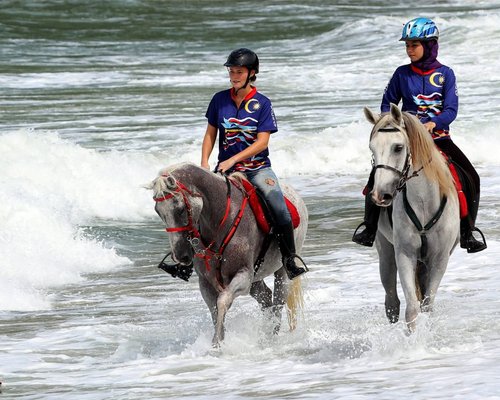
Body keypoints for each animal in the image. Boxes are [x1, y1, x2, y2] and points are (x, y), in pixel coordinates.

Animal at [146, 162, 306, 346]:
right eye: (158, 211)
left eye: (180, 209)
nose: (180, 255)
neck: (221, 217)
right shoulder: (205, 282)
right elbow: (215, 310)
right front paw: (219, 340)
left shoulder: (244, 275)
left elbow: (222, 302)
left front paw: (217, 344)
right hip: (256, 280)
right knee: (266, 298)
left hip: (282, 272)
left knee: (279, 302)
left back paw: (271, 337)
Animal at [366, 104, 458, 332]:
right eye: (372, 149)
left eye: (398, 147)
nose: (379, 195)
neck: (423, 200)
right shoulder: (405, 254)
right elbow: (412, 309)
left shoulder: (440, 258)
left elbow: (427, 306)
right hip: (386, 251)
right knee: (392, 302)